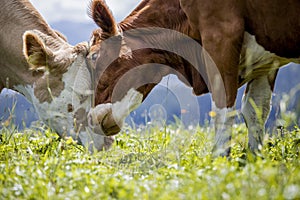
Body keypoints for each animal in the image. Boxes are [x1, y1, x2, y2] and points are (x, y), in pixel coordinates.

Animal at [84, 0, 300, 156]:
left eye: (94, 57)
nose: (91, 119)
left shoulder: (221, 33)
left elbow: (222, 109)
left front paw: (219, 162)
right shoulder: (267, 61)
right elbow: (256, 109)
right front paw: (255, 158)